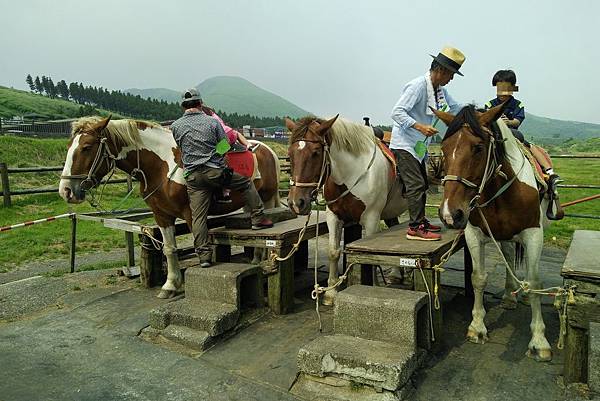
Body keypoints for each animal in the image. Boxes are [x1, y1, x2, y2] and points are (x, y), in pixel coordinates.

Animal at [58, 115, 282, 296]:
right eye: (68, 147)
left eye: (86, 147)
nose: (66, 190)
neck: (161, 165)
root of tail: (267, 149)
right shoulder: (162, 215)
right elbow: (169, 249)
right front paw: (171, 285)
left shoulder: (192, 213)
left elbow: (198, 243)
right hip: (247, 202)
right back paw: (256, 260)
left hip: (267, 197)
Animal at [284, 115, 408, 304]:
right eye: (290, 154)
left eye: (315, 153)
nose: (296, 202)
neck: (350, 174)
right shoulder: (334, 216)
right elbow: (334, 251)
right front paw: (331, 292)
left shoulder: (371, 218)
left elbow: (369, 256)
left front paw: (373, 288)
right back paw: (395, 274)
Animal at [432, 104, 552, 360]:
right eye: (444, 149)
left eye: (478, 148)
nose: (450, 213)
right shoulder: (474, 234)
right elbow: (478, 278)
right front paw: (477, 327)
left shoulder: (533, 235)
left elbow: (535, 283)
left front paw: (539, 340)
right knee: (508, 256)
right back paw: (508, 295)